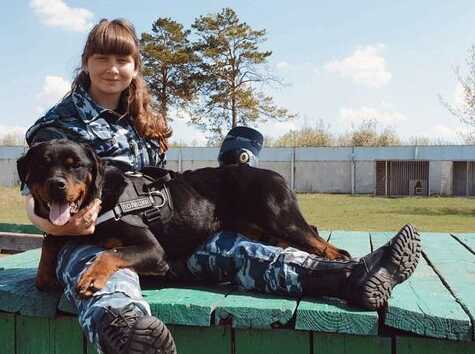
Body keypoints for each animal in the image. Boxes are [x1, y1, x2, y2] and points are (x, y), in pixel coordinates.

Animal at [16, 138, 352, 296]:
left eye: (76, 165)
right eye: (43, 165)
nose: (57, 185)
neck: (102, 198)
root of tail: (277, 175)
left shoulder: (153, 250)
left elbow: (110, 253)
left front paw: (91, 277)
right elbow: (49, 242)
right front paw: (46, 275)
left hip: (281, 217)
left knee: (323, 242)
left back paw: (339, 259)